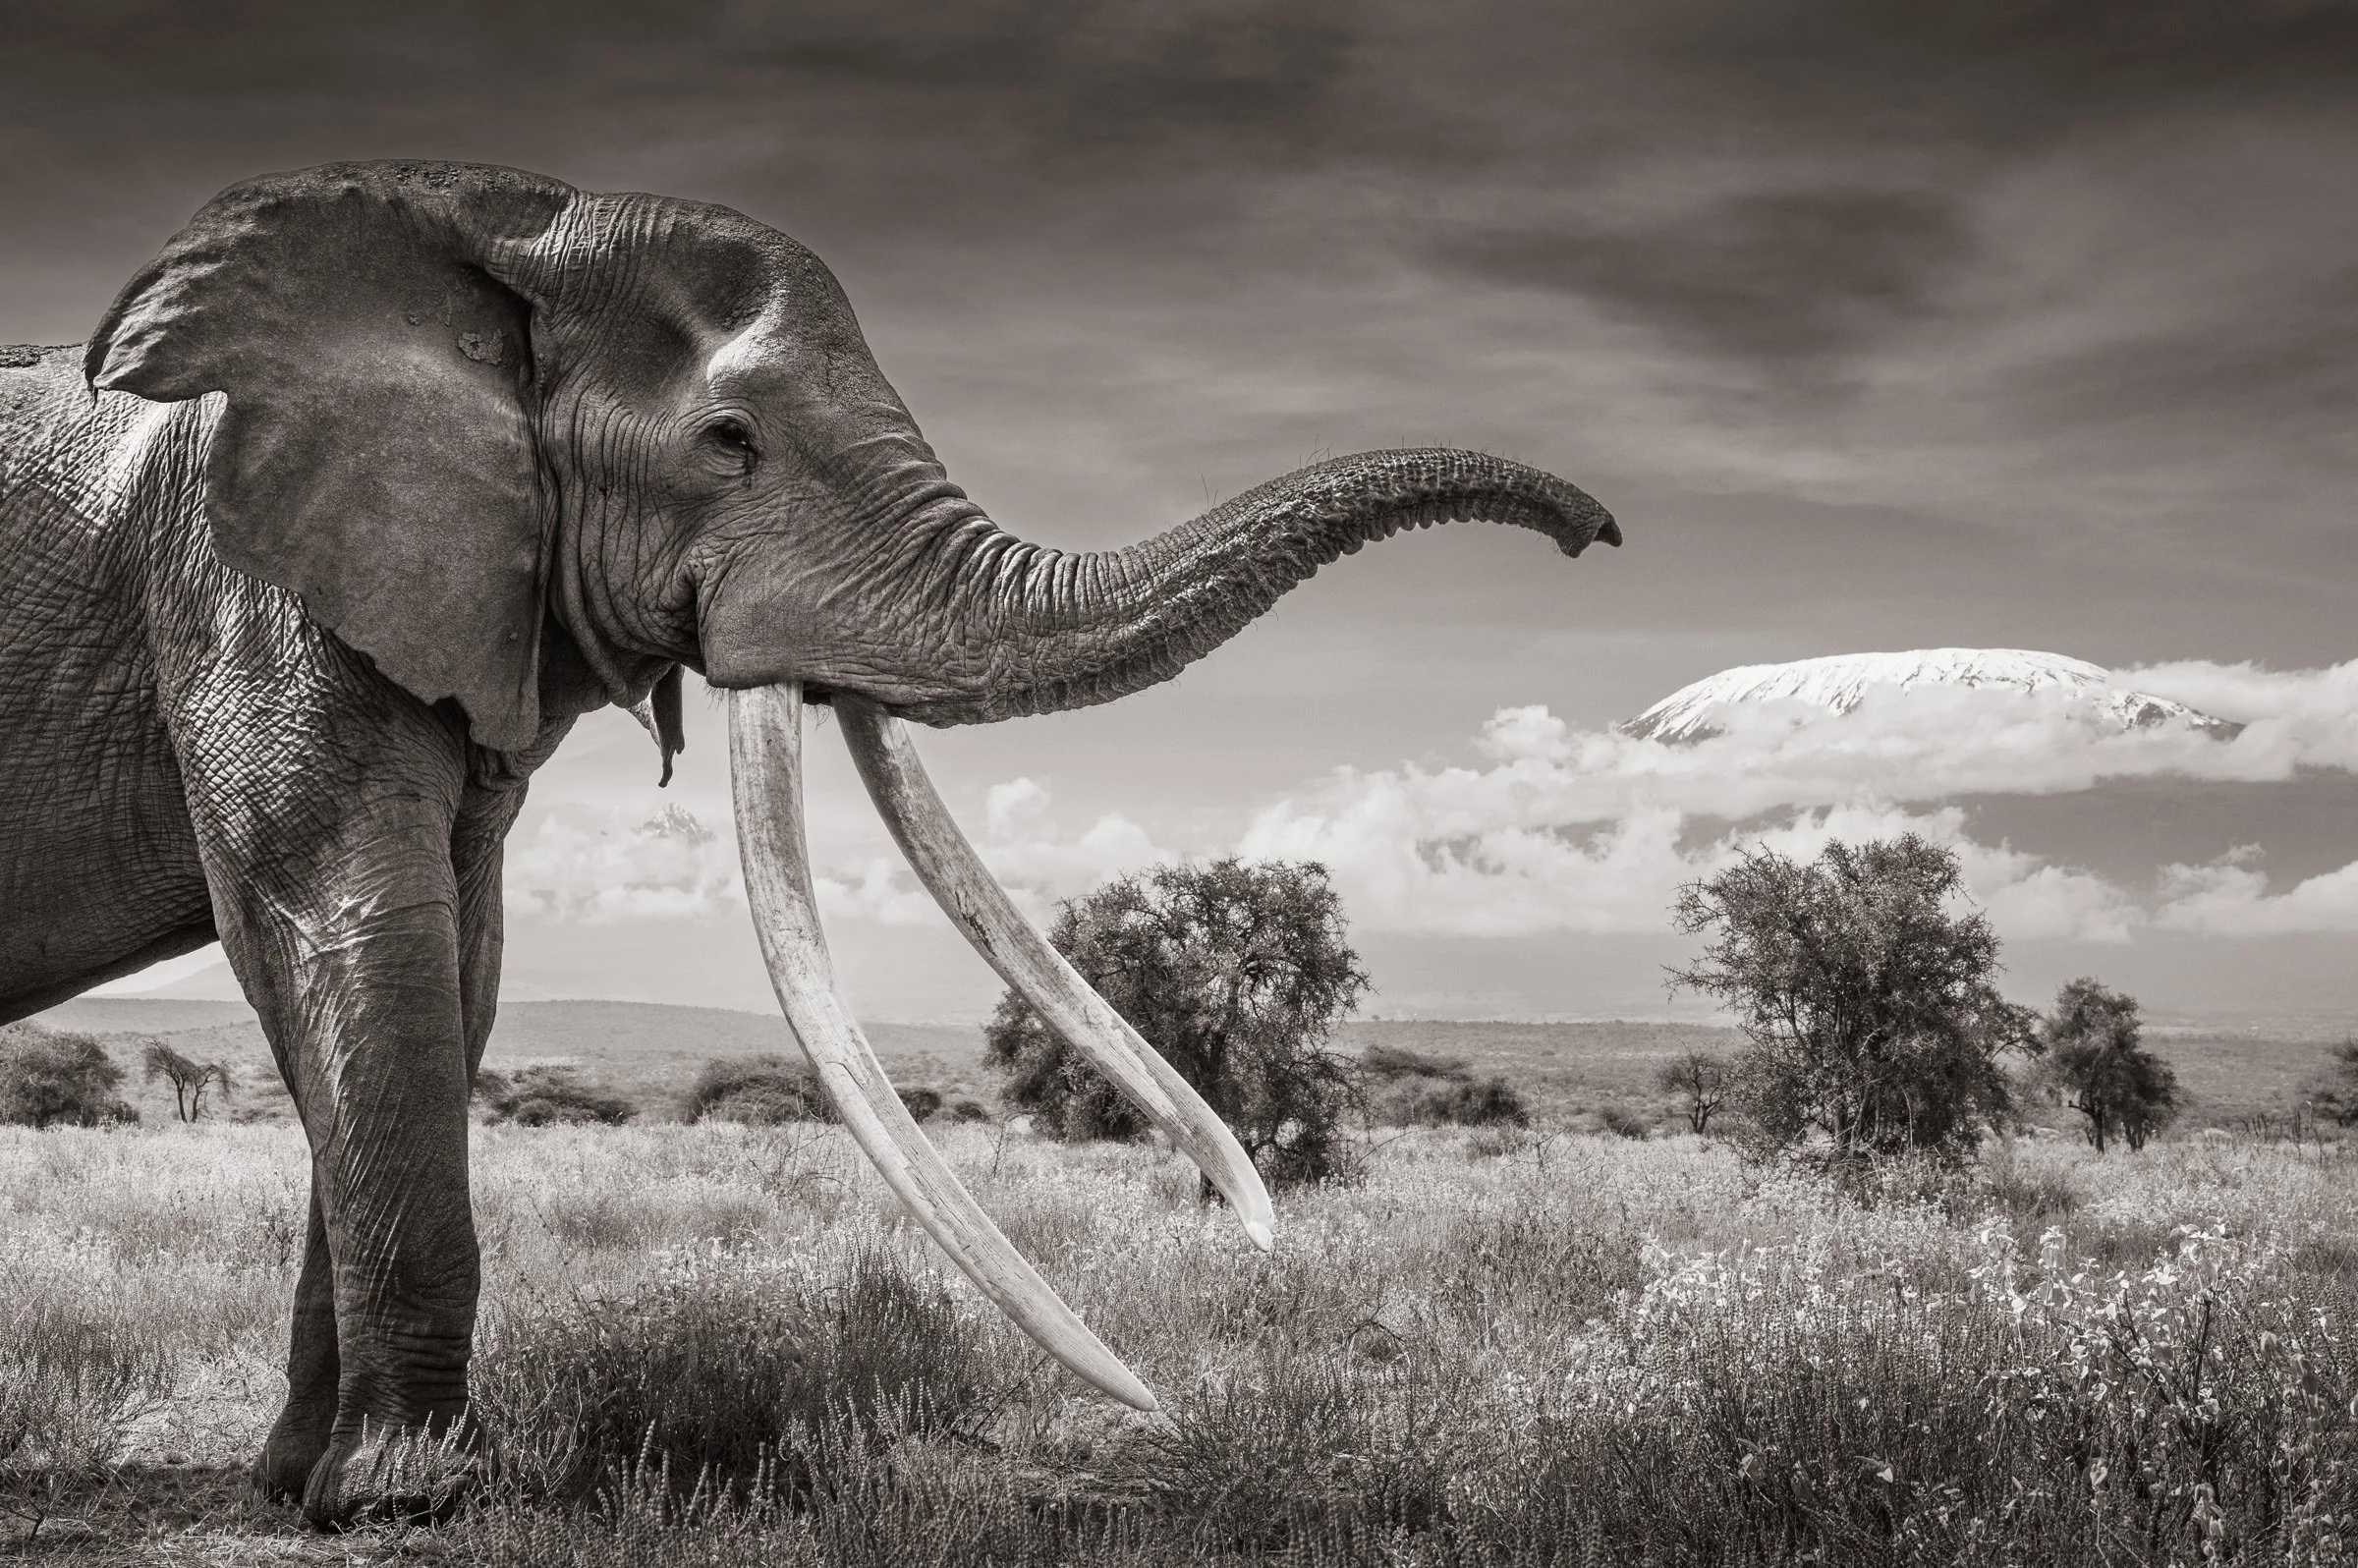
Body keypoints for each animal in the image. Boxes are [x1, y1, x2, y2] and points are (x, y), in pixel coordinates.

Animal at [0, 160, 1619, 1525]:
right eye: (728, 445)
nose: (1596, 533)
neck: (493, 232)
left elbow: (453, 970)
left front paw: (310, 1488)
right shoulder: (243, 585)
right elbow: (350, 926)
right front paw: (407, 1500)